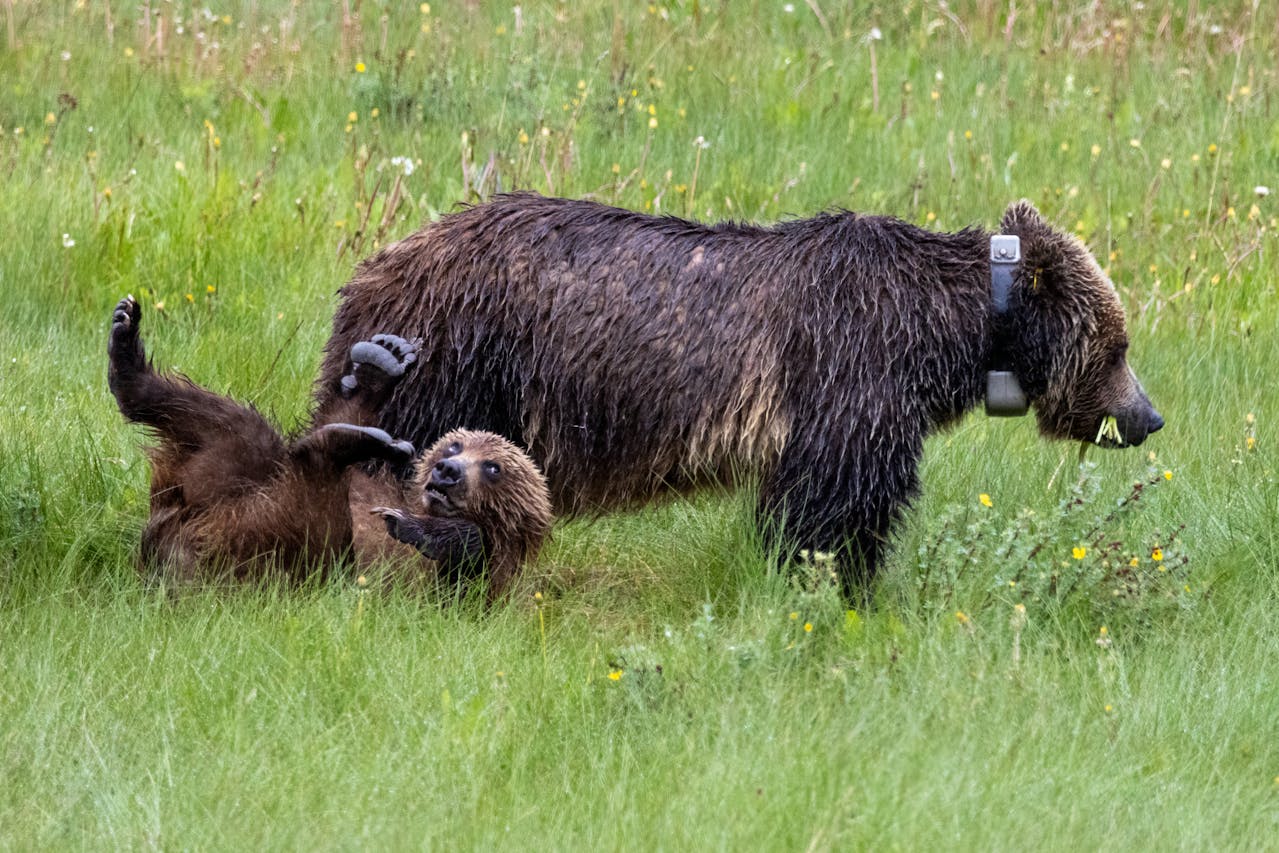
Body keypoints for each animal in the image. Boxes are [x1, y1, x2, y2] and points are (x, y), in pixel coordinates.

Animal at [107, 295, 551, 598]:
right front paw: (380, 362)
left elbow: (463, 558)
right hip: (215, 487)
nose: (448, 470)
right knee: (241, 430)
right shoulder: (377, 487)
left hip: (275, 561)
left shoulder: (468, 578)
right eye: (454, 446)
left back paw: (357, 443)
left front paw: (412, 526)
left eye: (493, 467)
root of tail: (171, 551)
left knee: (313, 497)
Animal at [311, 193, 1163, 597]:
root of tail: (377, 263)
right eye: (1118, 346)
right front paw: (832, 580)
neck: (947, 326)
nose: (1147, 416)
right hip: (465, 348)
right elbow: (833, 501)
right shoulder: (849, 366)